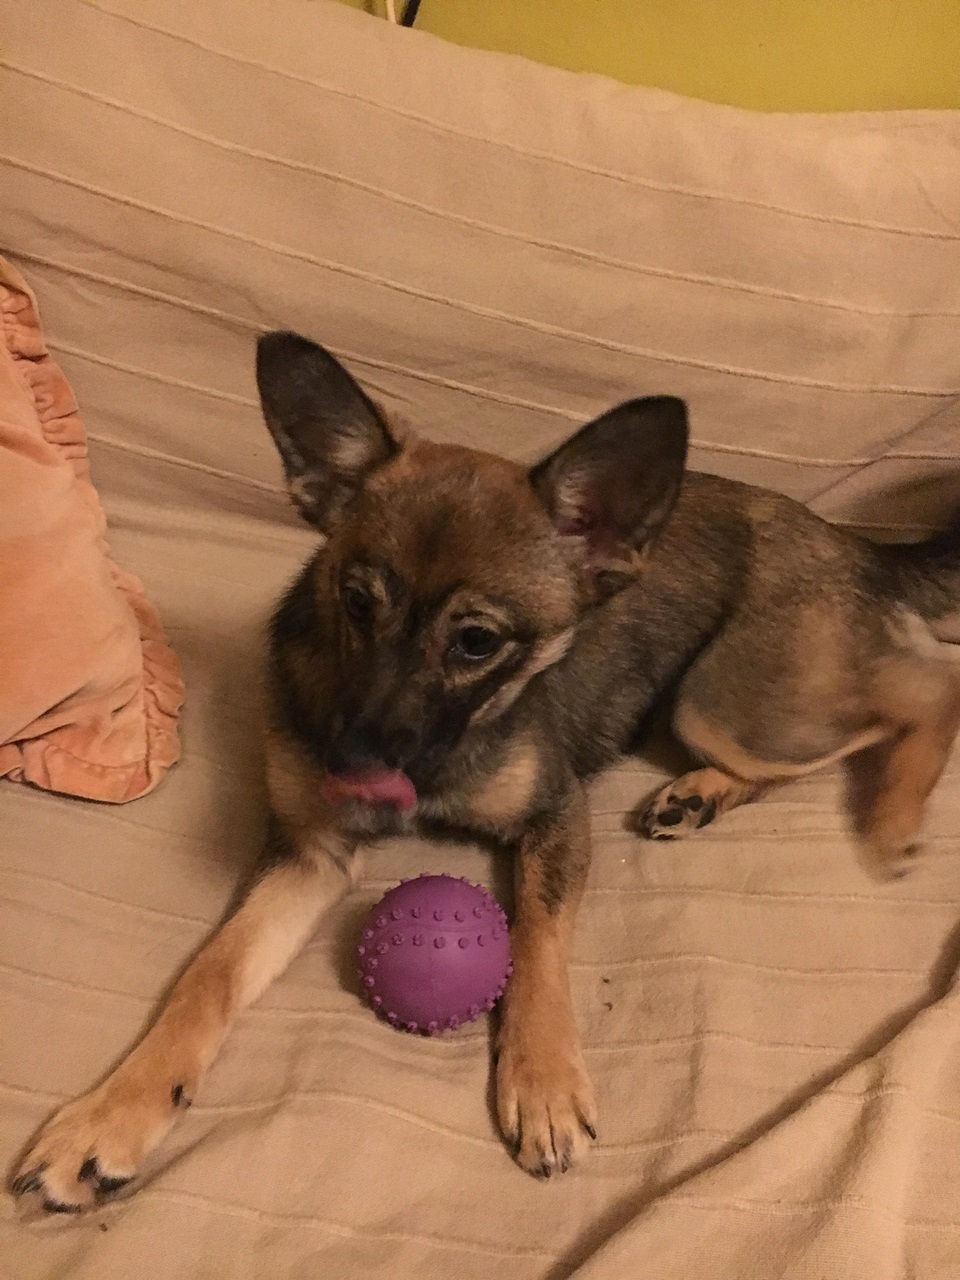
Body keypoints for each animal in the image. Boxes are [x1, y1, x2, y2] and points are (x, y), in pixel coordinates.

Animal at [11, 331, 960, 1211]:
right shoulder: (310, 856)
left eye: (476, 643)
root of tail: (856, 544)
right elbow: (209, 976)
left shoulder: (555, 817)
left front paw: (541, 1082)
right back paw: (699, 796)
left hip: (721, 695)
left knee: (917, 692)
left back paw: (891, 819)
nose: (348, 762)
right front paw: (112, 1113)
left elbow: (537, 942)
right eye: (354, 604)